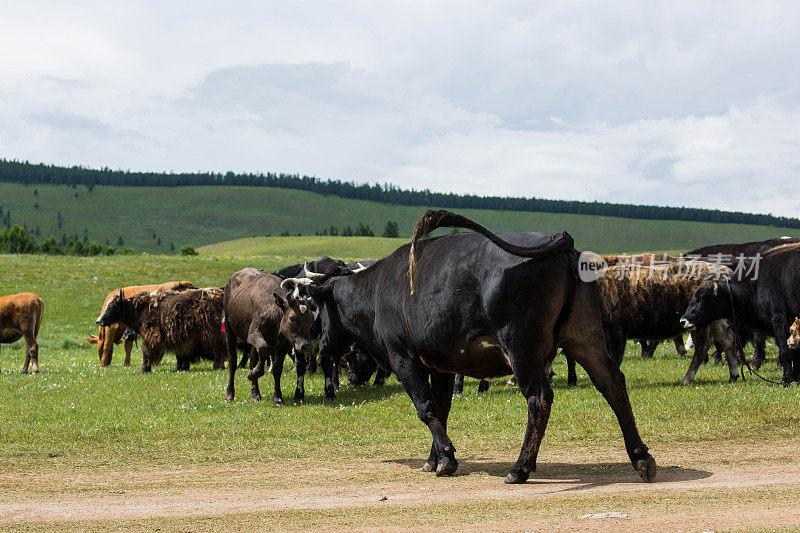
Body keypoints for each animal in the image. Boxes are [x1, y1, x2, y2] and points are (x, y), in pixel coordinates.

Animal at [96, 286, 225, 370]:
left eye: (111, 306)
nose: (98, 321)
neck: (140, 309)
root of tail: (221, 296)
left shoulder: (151, 334)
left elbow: (147, 351)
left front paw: (145, 369)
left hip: (211, 333)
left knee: (218, 348)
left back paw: (218, 366)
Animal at [306, 210, 656, 484]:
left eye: (317, 305)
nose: (318, 343)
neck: (376, 290)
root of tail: (561, 243)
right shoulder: (441, 365)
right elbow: (442, 409)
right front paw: (434, 459)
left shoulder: (404, 358)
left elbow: (425, 407)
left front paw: (447, 459)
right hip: (585, 337)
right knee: (612, 383)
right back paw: (641, 457)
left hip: (521, 347)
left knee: (539, 398)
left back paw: (521, 468)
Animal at [680, 243, 800, 384]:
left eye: (701, 297)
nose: (683, 320)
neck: (756, 284)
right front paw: (795, 377)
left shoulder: (780, 321)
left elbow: (785, 350)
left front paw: (785, 380)